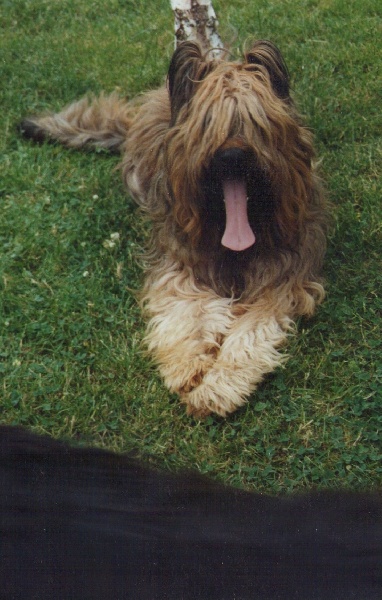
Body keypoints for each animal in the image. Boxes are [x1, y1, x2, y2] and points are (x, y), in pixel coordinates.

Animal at [20, 41, 326, 418]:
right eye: (208, 123)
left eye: (253, 121)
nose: (233, 157)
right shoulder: (179, 267)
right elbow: (186, 314)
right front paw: (188, 370)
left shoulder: (281, 280)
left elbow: (249, 336)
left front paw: (218, 387)